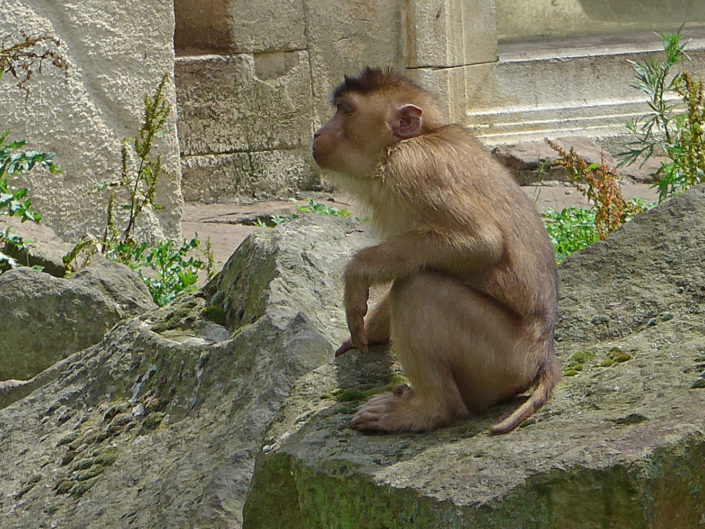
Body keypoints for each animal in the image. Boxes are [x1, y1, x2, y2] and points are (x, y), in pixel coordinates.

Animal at [312, 67, 560, 435]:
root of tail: (542, 358)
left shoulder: (412, 169)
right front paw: (368, 331)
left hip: (503, 361)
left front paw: (356, 274)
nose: (317, 132)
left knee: (419, 289)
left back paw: (431, 411)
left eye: (346, 111)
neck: (418, 137)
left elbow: (481, 241)